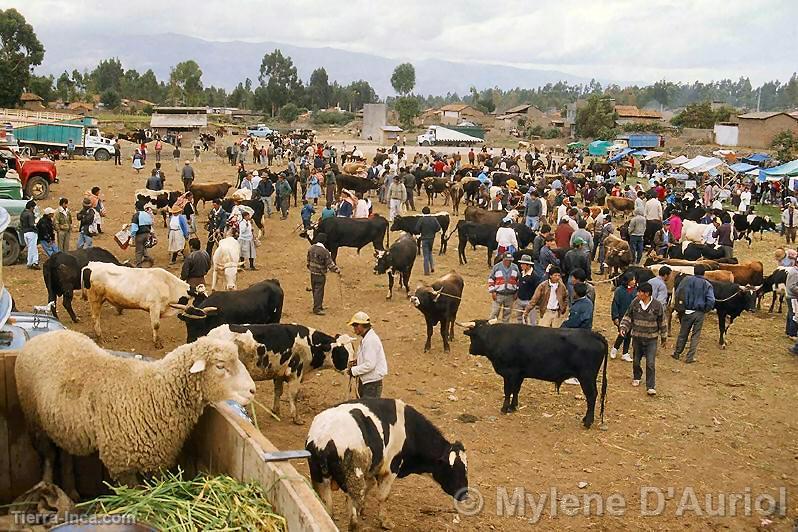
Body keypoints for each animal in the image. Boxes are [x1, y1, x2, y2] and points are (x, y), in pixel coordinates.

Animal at [14, 328, 256, 494]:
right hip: (34, 418)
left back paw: (71, 491)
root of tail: (44, 336)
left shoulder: (157, 459)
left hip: (64, 424)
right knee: (48, 454)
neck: (154, 393)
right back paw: (46, 486)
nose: (252, 390)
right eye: (220, 366)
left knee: (64, 455)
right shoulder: (122, 463)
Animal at [208, 324, 354, 424]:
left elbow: (278, 391)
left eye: (352, 349)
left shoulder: (278, 374)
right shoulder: (295, 374)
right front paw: (296, 418)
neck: (310, 344)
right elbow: (293, 395)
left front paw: (275, 411)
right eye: (342, 352)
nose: (352, 364)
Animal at [306, 400, 468, 532]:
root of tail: (323, 437)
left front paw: (363, 509)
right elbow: (383, 496)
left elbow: (370, 486)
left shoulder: (373, 468)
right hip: (353, 480)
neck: (408, 430)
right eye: (455, 469)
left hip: (320, 479)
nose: (465, 494)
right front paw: (385, 521)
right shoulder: (391, 468)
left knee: (327, 509)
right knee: (352, 518)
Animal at [460, 320, 608, 428]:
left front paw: (504, 408)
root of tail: (594, 334)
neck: (495, 337)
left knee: (591, 396)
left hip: (586, 377)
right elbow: (516, 390)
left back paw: (587, 422)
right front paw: (513, 407)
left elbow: (508, 391)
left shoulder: (509, 373)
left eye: (473, 337)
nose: (470, 350)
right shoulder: (519, 374)